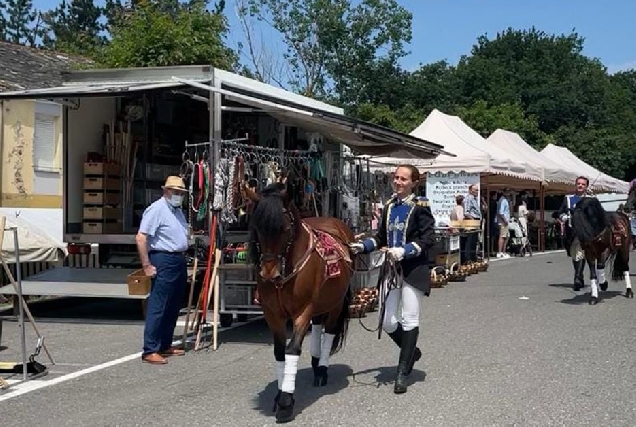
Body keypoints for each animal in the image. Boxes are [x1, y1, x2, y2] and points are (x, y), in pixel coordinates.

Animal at [245, 182, 356, 422]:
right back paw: (315, 361)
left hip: (335, 302)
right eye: (257, 228)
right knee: (318, 325)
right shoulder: (273, 314)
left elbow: (292, 349)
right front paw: (279, 395)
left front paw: (286, 402)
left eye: (285, 229)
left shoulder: (302, 310)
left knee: (329, 330)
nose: (269, 273)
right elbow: (279, 352)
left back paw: (322, 369)